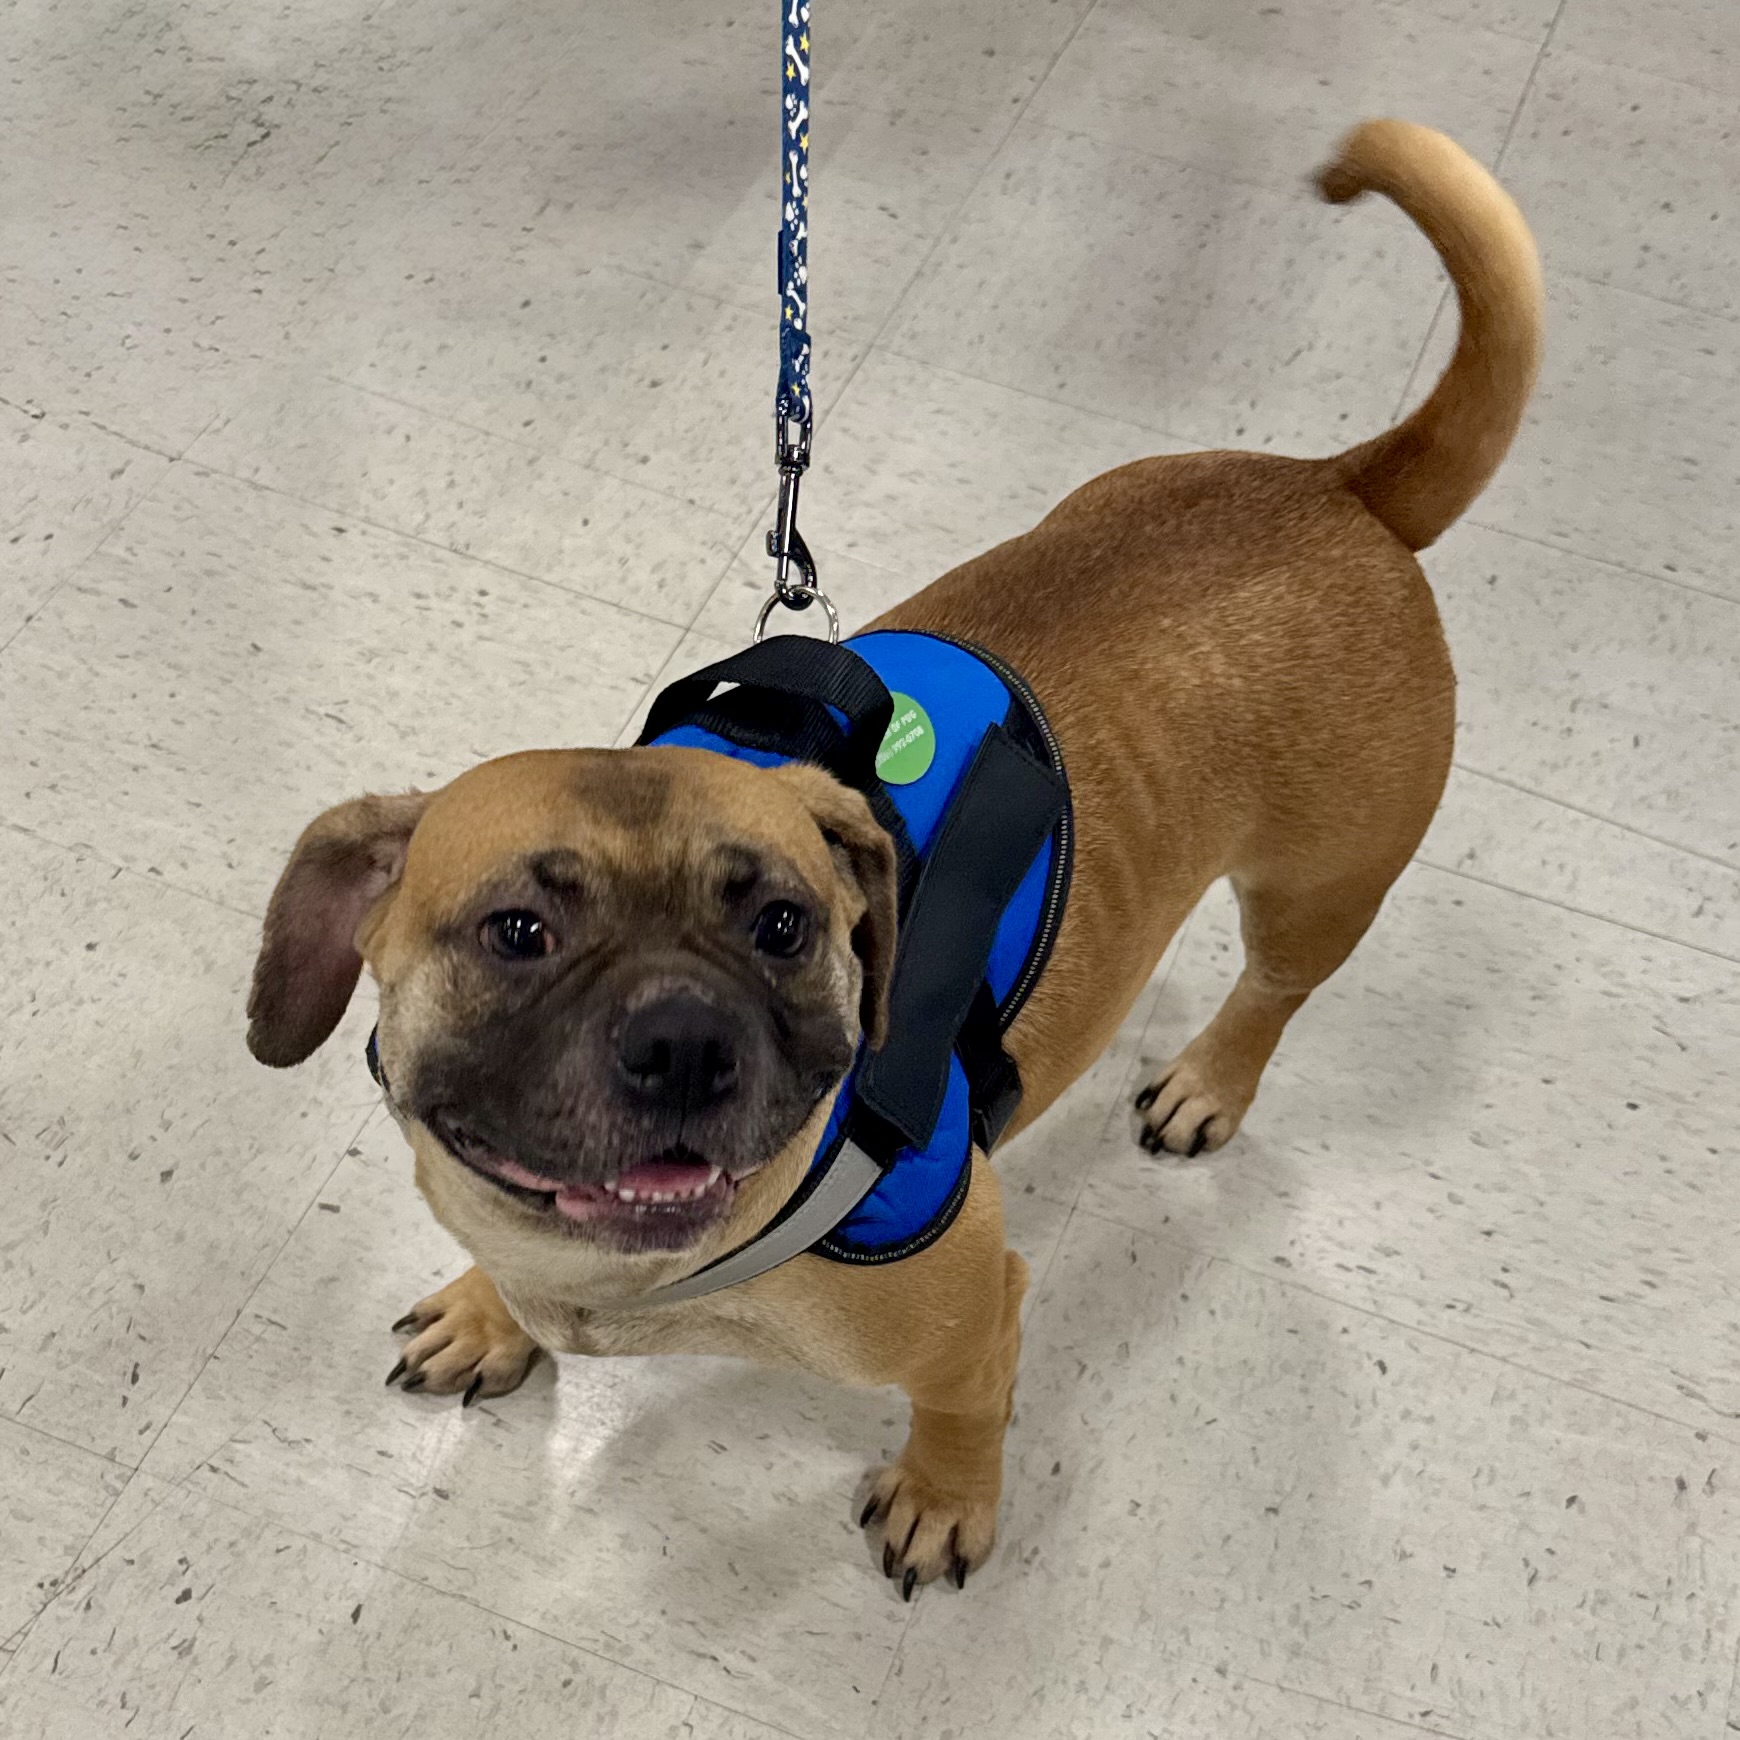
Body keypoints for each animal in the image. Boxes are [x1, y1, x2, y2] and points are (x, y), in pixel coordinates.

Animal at [246, 120, 1541, 1595]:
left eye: (784, 927)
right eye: (519, 932)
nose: (683, 1042)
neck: (620, 1277)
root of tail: (1340, 486)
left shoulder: (978, 1305)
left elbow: (967, 1406)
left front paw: (943, 1497)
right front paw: (489, 1313)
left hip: (1316, 889)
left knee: (1273, 990)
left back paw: (1208, 1083)